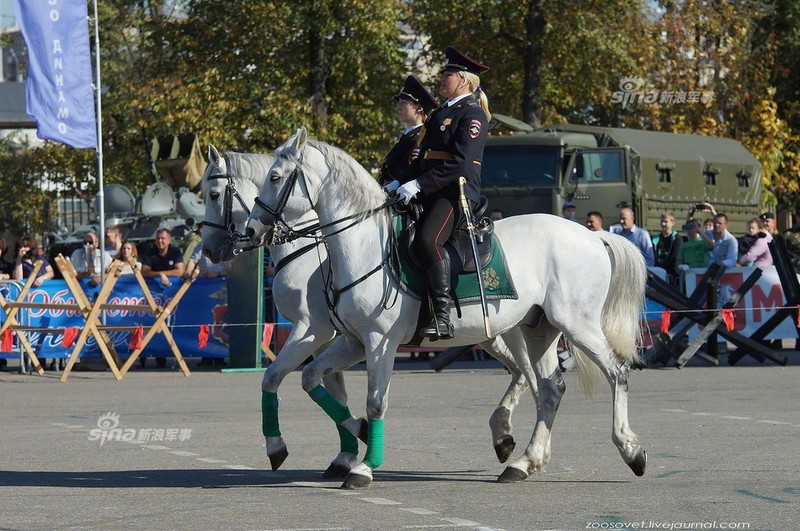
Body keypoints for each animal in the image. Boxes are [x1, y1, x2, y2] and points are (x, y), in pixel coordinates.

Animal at [202, 144, 532, 478]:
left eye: (214, 194)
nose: (209, 250)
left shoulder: (314, 330)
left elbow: (293, 380)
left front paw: (345, 447)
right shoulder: (339, 337)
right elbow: (320, 385)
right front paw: (346, 452)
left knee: (529, 372)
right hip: (496, 332)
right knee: (523, 371)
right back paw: (505, 438)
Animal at [248, 129, 648, 490]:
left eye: (275, 177)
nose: (252, 230)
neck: (361, 246)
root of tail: (591, 234)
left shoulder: (377, 341)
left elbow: (375, 402)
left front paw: (364, 467)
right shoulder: (351, 341)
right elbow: (306, 377)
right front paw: (302, 444)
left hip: (576, 324)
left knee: (616, 371)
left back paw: (631, 451)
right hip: (538, 329)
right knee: (549, 388)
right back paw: (524, 462)